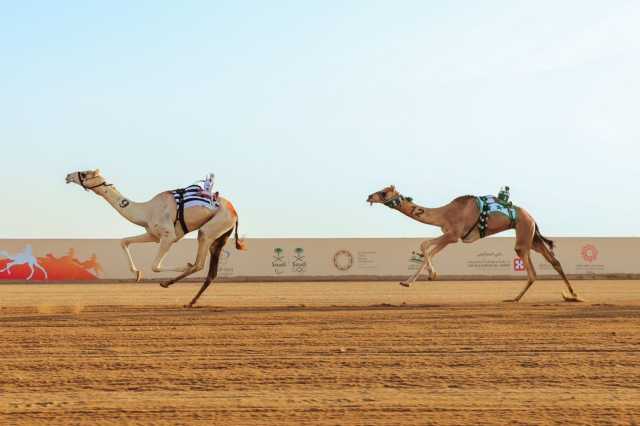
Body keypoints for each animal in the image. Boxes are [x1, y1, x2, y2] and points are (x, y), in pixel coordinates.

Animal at [65, 169, 245, 306]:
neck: (146, 211)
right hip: (220, 236)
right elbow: (124, 241)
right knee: (211, 271)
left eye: (84, 173)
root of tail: (235, 213)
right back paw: (190, 301)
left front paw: (182, 266)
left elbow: (155, 266)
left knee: (199, 263)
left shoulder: (169, 236)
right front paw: (137, 274)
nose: (68, 176)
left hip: (210, 229)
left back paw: (170, 283)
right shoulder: (153, 234)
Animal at [364, 185, 580, 302]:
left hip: (523, 235)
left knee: (533, 271)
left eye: (384, 193)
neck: (444, 213)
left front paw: (426, 276)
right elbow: (428, 250)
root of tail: (532, 218)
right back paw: (573, 295)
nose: (369, 196)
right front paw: (413, 280)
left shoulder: (453, 235)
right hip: (532, 237)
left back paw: (514, 298)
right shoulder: (450, 235)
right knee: (554, 261)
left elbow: (425, 246)